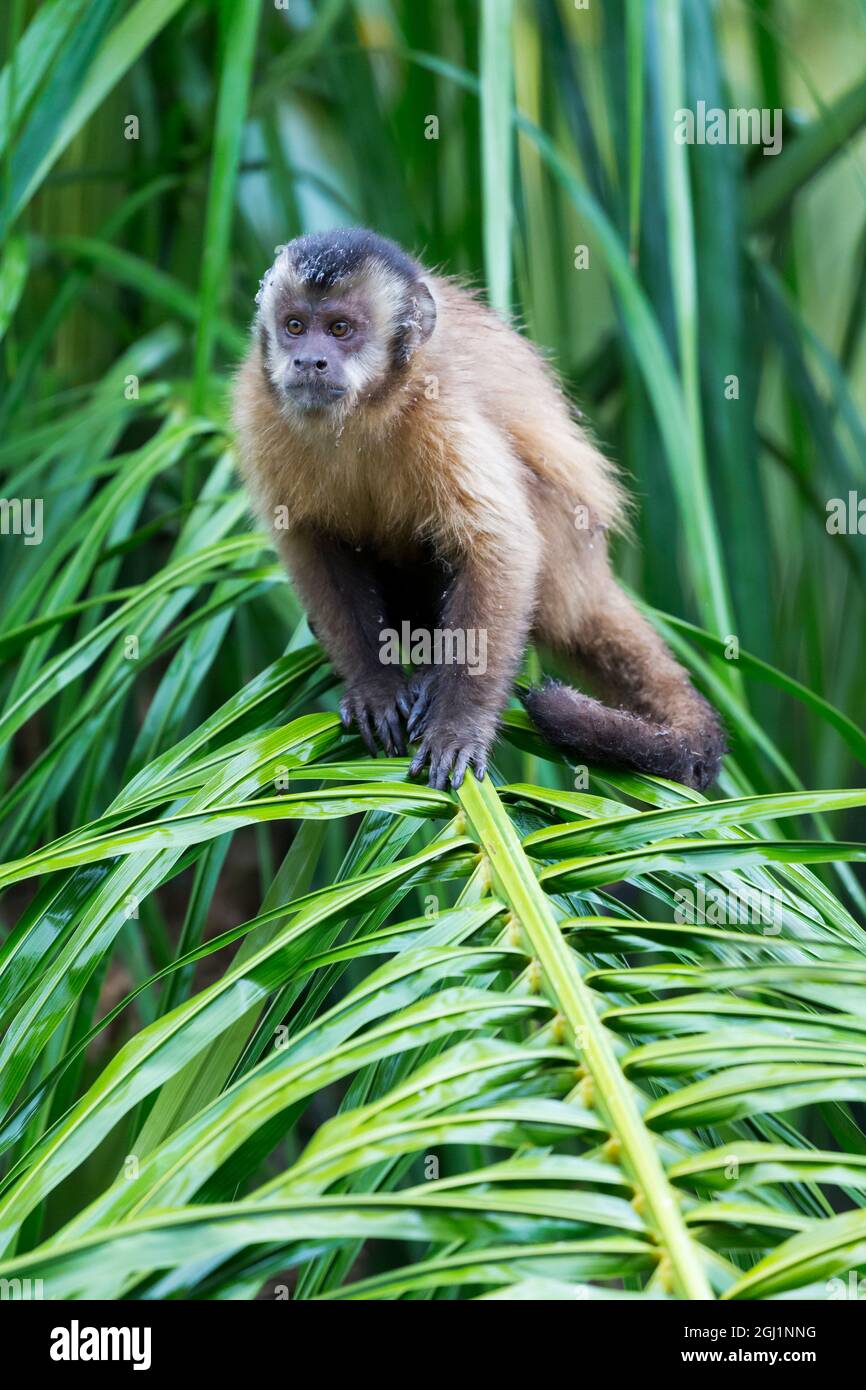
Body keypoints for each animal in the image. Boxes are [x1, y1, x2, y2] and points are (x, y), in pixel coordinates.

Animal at [232, 228, 725, 792]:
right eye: (294, 326)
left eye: (340, 329)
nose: (309, 360)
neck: (365, 410)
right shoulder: (257, 407)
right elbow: (310, 541)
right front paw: (374, 684)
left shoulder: (441, 407)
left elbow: (499, 549)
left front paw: (459, 724)